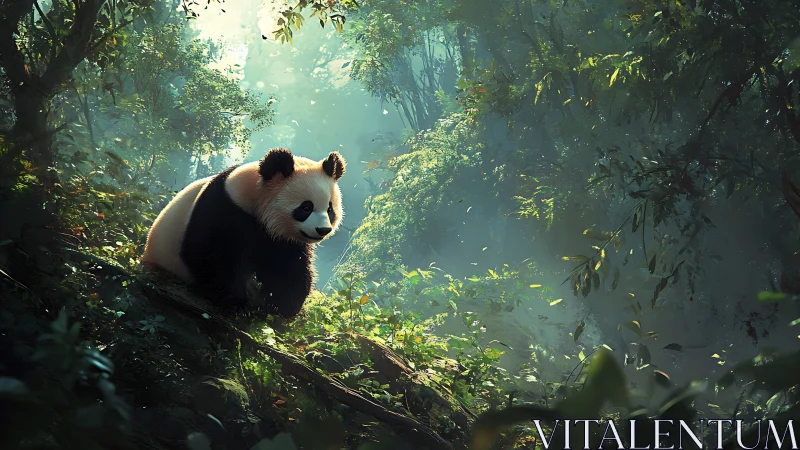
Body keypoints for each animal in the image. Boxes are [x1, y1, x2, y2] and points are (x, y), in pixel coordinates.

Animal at [141, 148, 346, 318]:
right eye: (306, 208)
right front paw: (239, 306)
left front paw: (279, 305)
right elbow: (209, 254)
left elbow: (288, 267)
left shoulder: (281, 239)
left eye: (329, 209)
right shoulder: (223, 207)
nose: (323, 230)